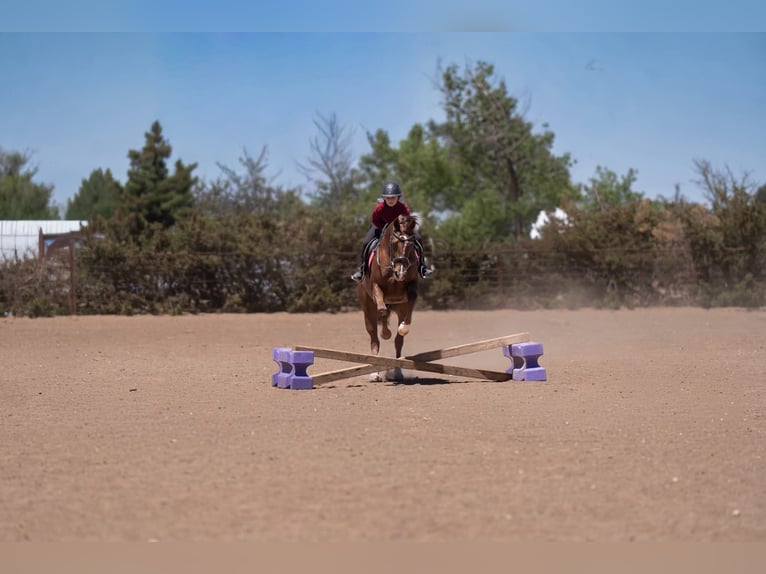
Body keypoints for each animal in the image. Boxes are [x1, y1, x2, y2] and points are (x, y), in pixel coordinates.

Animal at [357, 214, 420, 381]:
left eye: (411, 244)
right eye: (394, 243)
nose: (401, 272)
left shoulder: (410, 289)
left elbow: (410, 304)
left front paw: (403, 327)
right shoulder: (376, 287)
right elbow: (382, 311)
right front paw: (386, 333)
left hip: (398, 306)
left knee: (398, 341)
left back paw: (397, 371)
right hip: (368, 309)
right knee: (374, 336)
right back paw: (374, 372)